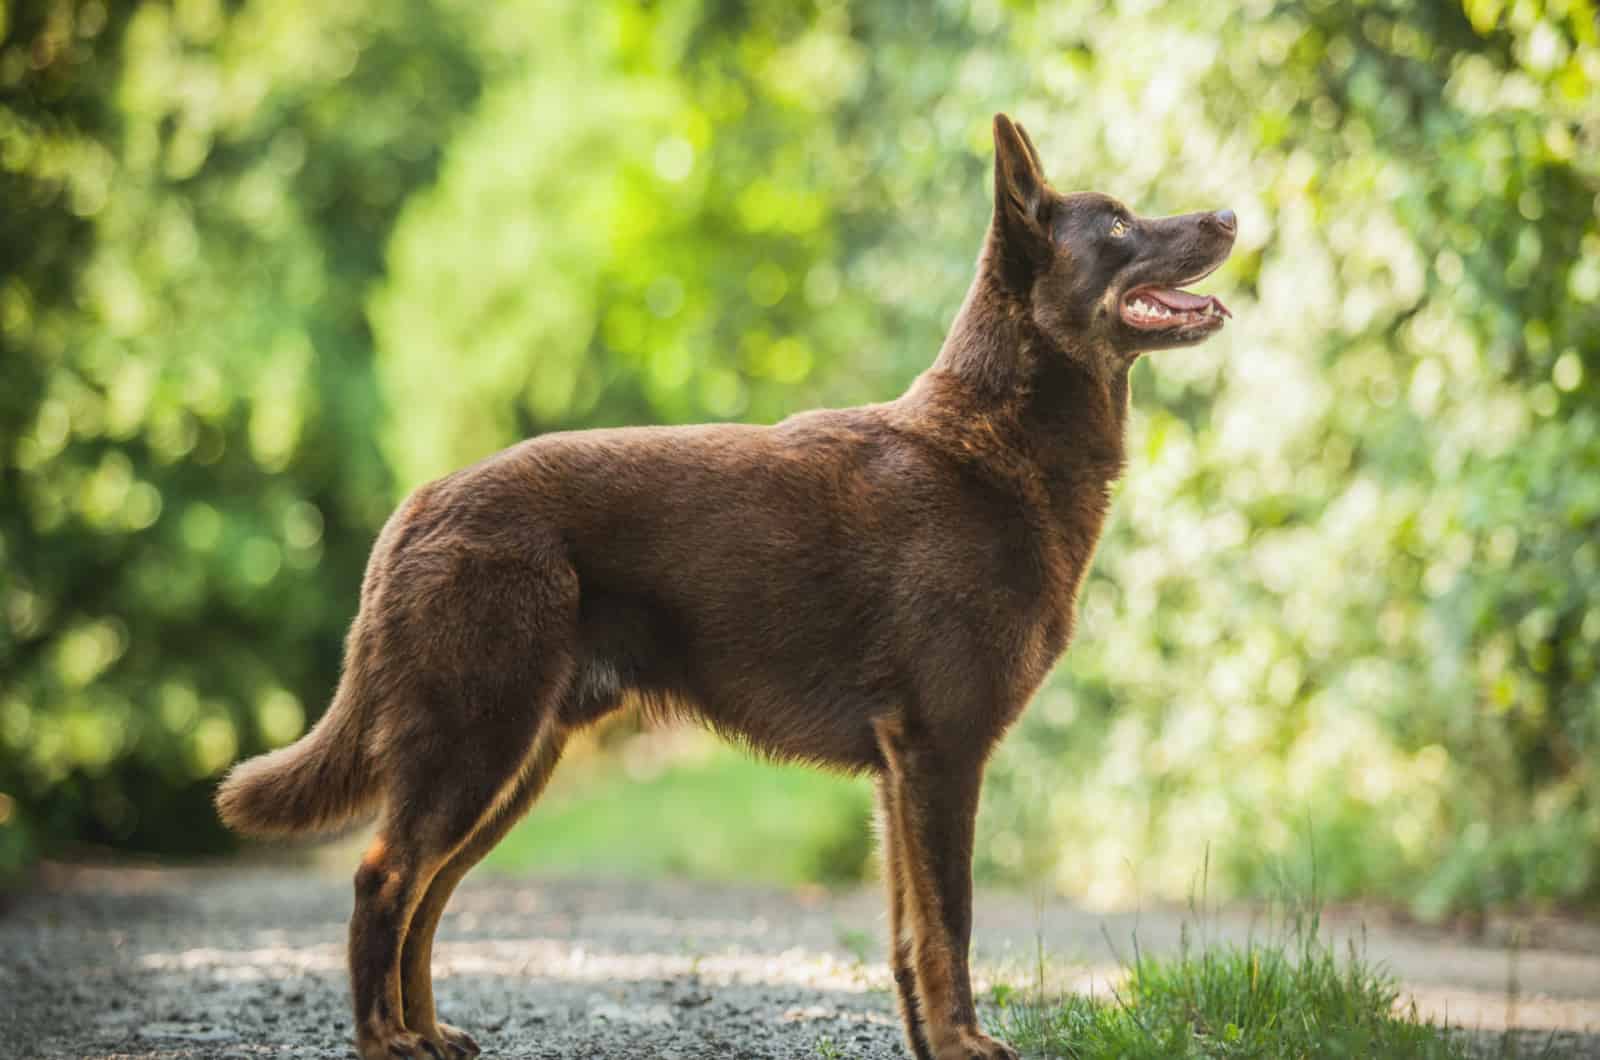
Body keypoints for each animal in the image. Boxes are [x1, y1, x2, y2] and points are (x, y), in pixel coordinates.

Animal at [216, 114, 1235, 1060]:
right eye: (1117, 224)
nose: (1228, 216)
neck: (995, 441)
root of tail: (420, 506)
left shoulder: (901, 775)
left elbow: (909, 937)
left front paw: (927, 1042)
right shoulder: (941, 753)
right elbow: (951, 923)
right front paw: (960, 1045)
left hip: (512, 760)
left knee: (427, 897)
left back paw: (427, 1032)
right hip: (473, 740)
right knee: (385, 880)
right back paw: (383, 1039)